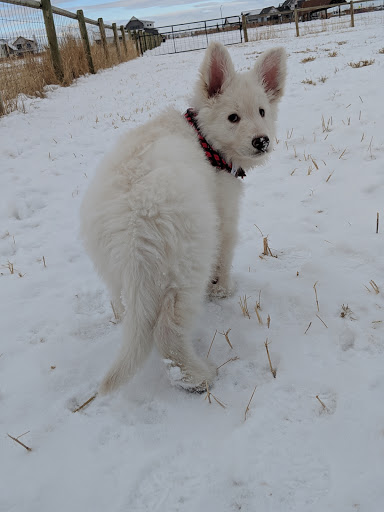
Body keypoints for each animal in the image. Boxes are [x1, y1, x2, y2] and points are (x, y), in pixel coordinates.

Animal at [80, 42, 284, 394]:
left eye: (262, 111)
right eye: (233, 117)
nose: (262, 141)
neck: (204, 141)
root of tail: (132, 229)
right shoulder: (224, 213)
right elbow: (226, 252)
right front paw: (222, 290)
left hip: (115, 269)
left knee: (124, 307)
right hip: (187, 264)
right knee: (168, 329)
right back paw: (195, 377)